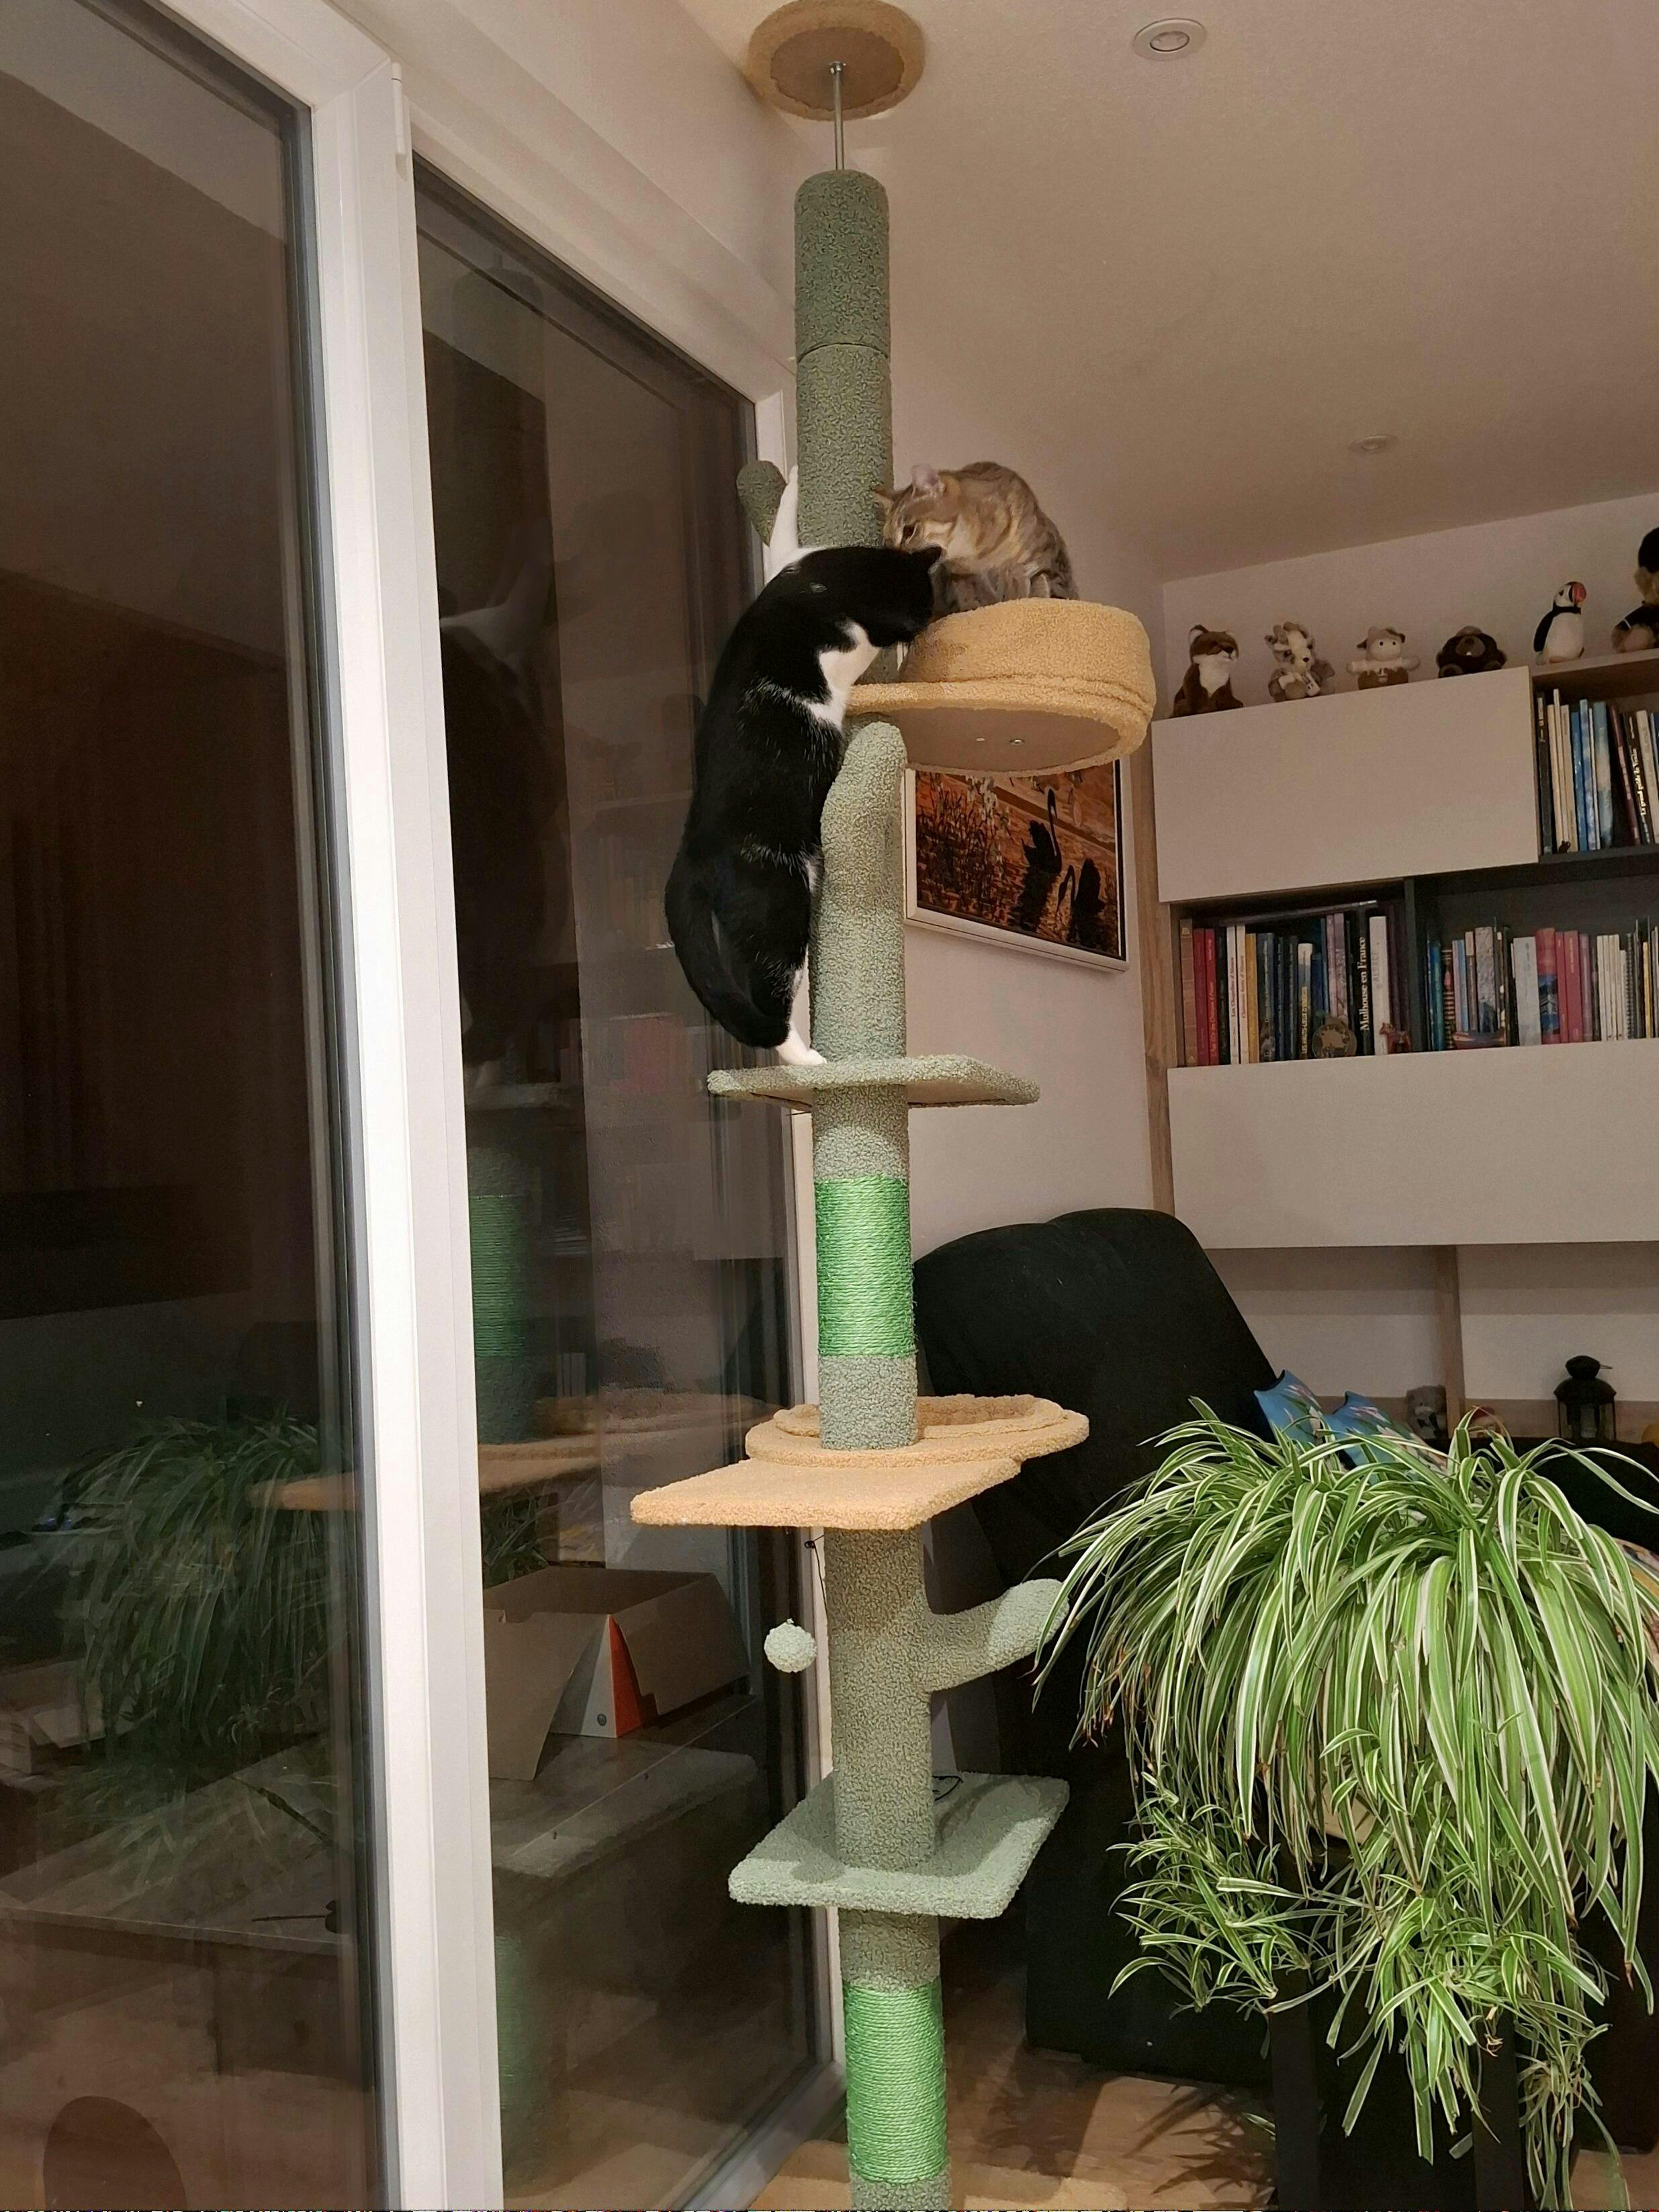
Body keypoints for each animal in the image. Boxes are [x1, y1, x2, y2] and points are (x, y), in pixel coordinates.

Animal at [666, 526, 938, 1064]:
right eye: (924, 607)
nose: (927, 629)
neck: (831, 582)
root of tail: (693, 846)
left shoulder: (796, 560)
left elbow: (785, 534)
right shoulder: (843, 645)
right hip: (781, 904)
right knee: (769, 996)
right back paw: (809, 1060)